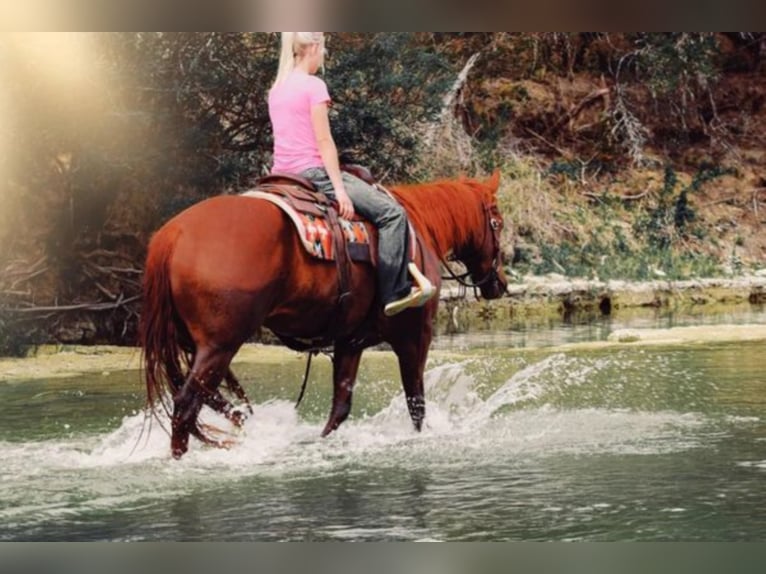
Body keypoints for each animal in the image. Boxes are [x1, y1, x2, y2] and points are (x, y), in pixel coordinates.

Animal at [141, 171, 510, 460]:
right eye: (498, 223)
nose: (500, 284)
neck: (419, 230)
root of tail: (171, 235)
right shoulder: (416, 337)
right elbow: (416, 405)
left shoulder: (351, 342)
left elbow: (340, 409)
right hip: (220, 346)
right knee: (186, 406)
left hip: (195, 346)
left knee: (209, 402)